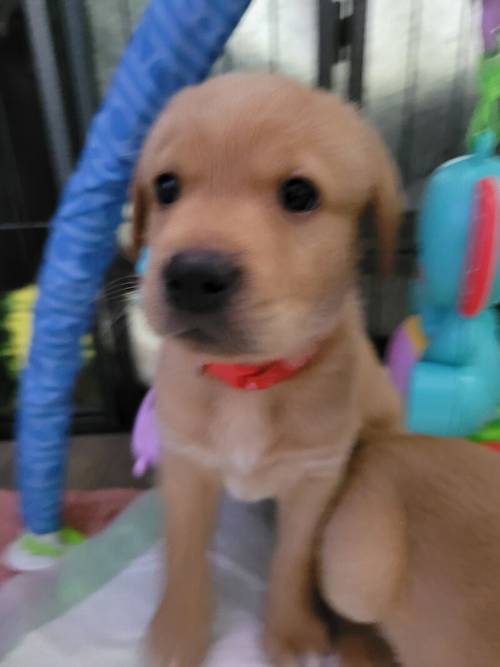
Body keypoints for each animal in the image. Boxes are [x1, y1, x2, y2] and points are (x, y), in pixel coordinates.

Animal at [132, 73, 402, 667]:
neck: (248, 382)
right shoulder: (184, 467)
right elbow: (185, 553)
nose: (192, 275)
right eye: (166, 187)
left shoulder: (315, 481)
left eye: (299, 194)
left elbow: (292, 561)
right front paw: (177, 632)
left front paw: (292, 631)